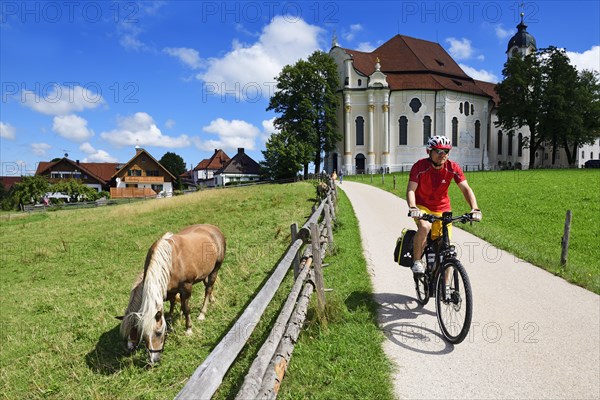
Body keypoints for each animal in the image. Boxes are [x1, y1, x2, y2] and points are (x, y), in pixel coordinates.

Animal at [116, 223, 226, 364]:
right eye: (143, 334)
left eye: (158, 333)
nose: (153, 360)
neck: (168, 262)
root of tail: (214, 228)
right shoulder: (169, 290)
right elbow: (172, 303)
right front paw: (170, 318)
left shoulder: (186, 287)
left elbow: (186, 308)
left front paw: (188, 328)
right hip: (206, 271)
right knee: (208, 286)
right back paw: (212, 300)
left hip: (216, 268)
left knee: (208, 289)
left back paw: (202, 313)